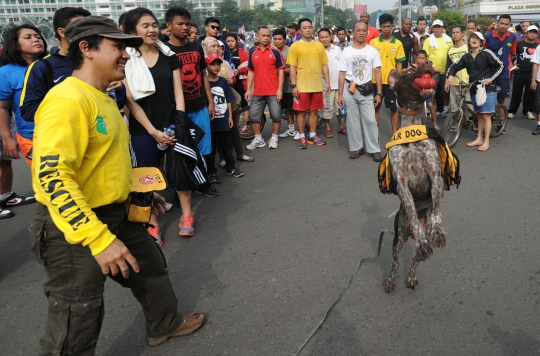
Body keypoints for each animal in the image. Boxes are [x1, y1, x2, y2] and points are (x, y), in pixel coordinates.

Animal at [384, 61, 448, 292]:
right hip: (398, 238)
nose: (428, 63)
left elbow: (437, 211)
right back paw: (391, 280)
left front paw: (437, 230)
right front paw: (420, 239)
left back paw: (411, 277)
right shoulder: (402, 184)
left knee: (415, 259)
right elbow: (411, 210)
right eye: (409, 70)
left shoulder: (435, 175)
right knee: (395, 262)